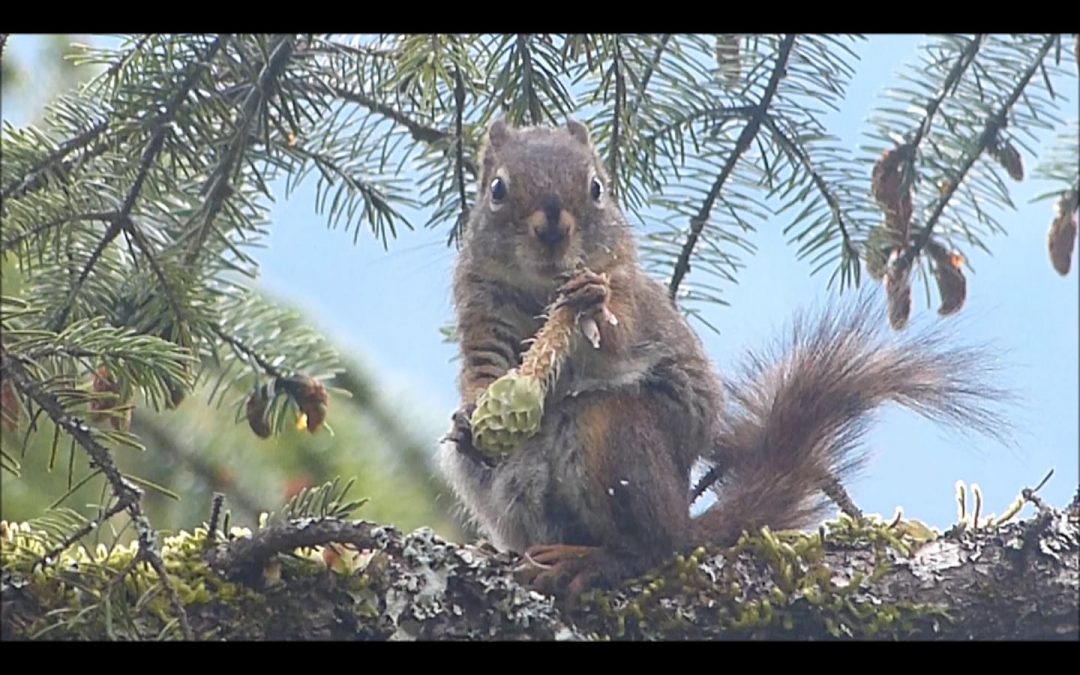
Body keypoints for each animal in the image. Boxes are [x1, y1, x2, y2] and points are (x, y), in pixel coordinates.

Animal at [436, 118, 1007, 602]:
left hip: (618, 435)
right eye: (497, 189)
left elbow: (618, 337)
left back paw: (593, 560)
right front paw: (473, 415)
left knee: (653, 548)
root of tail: (685, 519)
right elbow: (484, 369)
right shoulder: (482, 311)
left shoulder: (633, 300)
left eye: (597, 187)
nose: (553, 226)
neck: (541, 292)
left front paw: (591, 302)